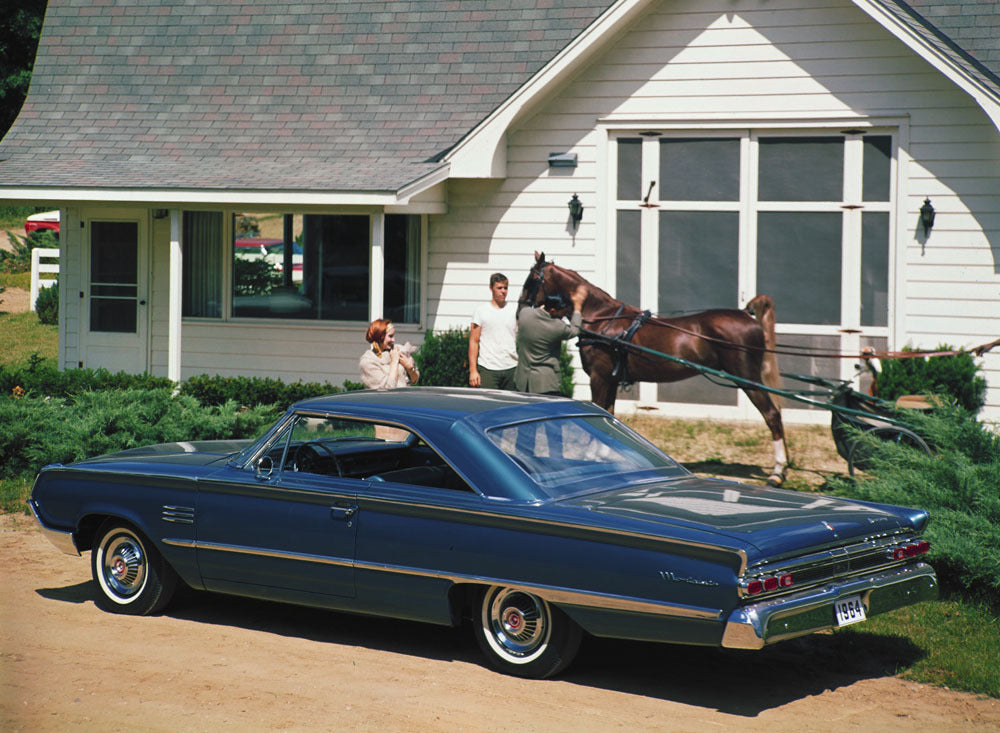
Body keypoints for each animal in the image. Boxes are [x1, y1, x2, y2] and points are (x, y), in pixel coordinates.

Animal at [524, 252, 788, 486]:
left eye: (532, 278)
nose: (521, 306)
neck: (601, 319)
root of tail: (749, 317)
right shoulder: (612, 380)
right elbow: (608, 415)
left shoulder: (599, 378)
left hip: (747, 379)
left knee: (771, 415)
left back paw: (777, 471)